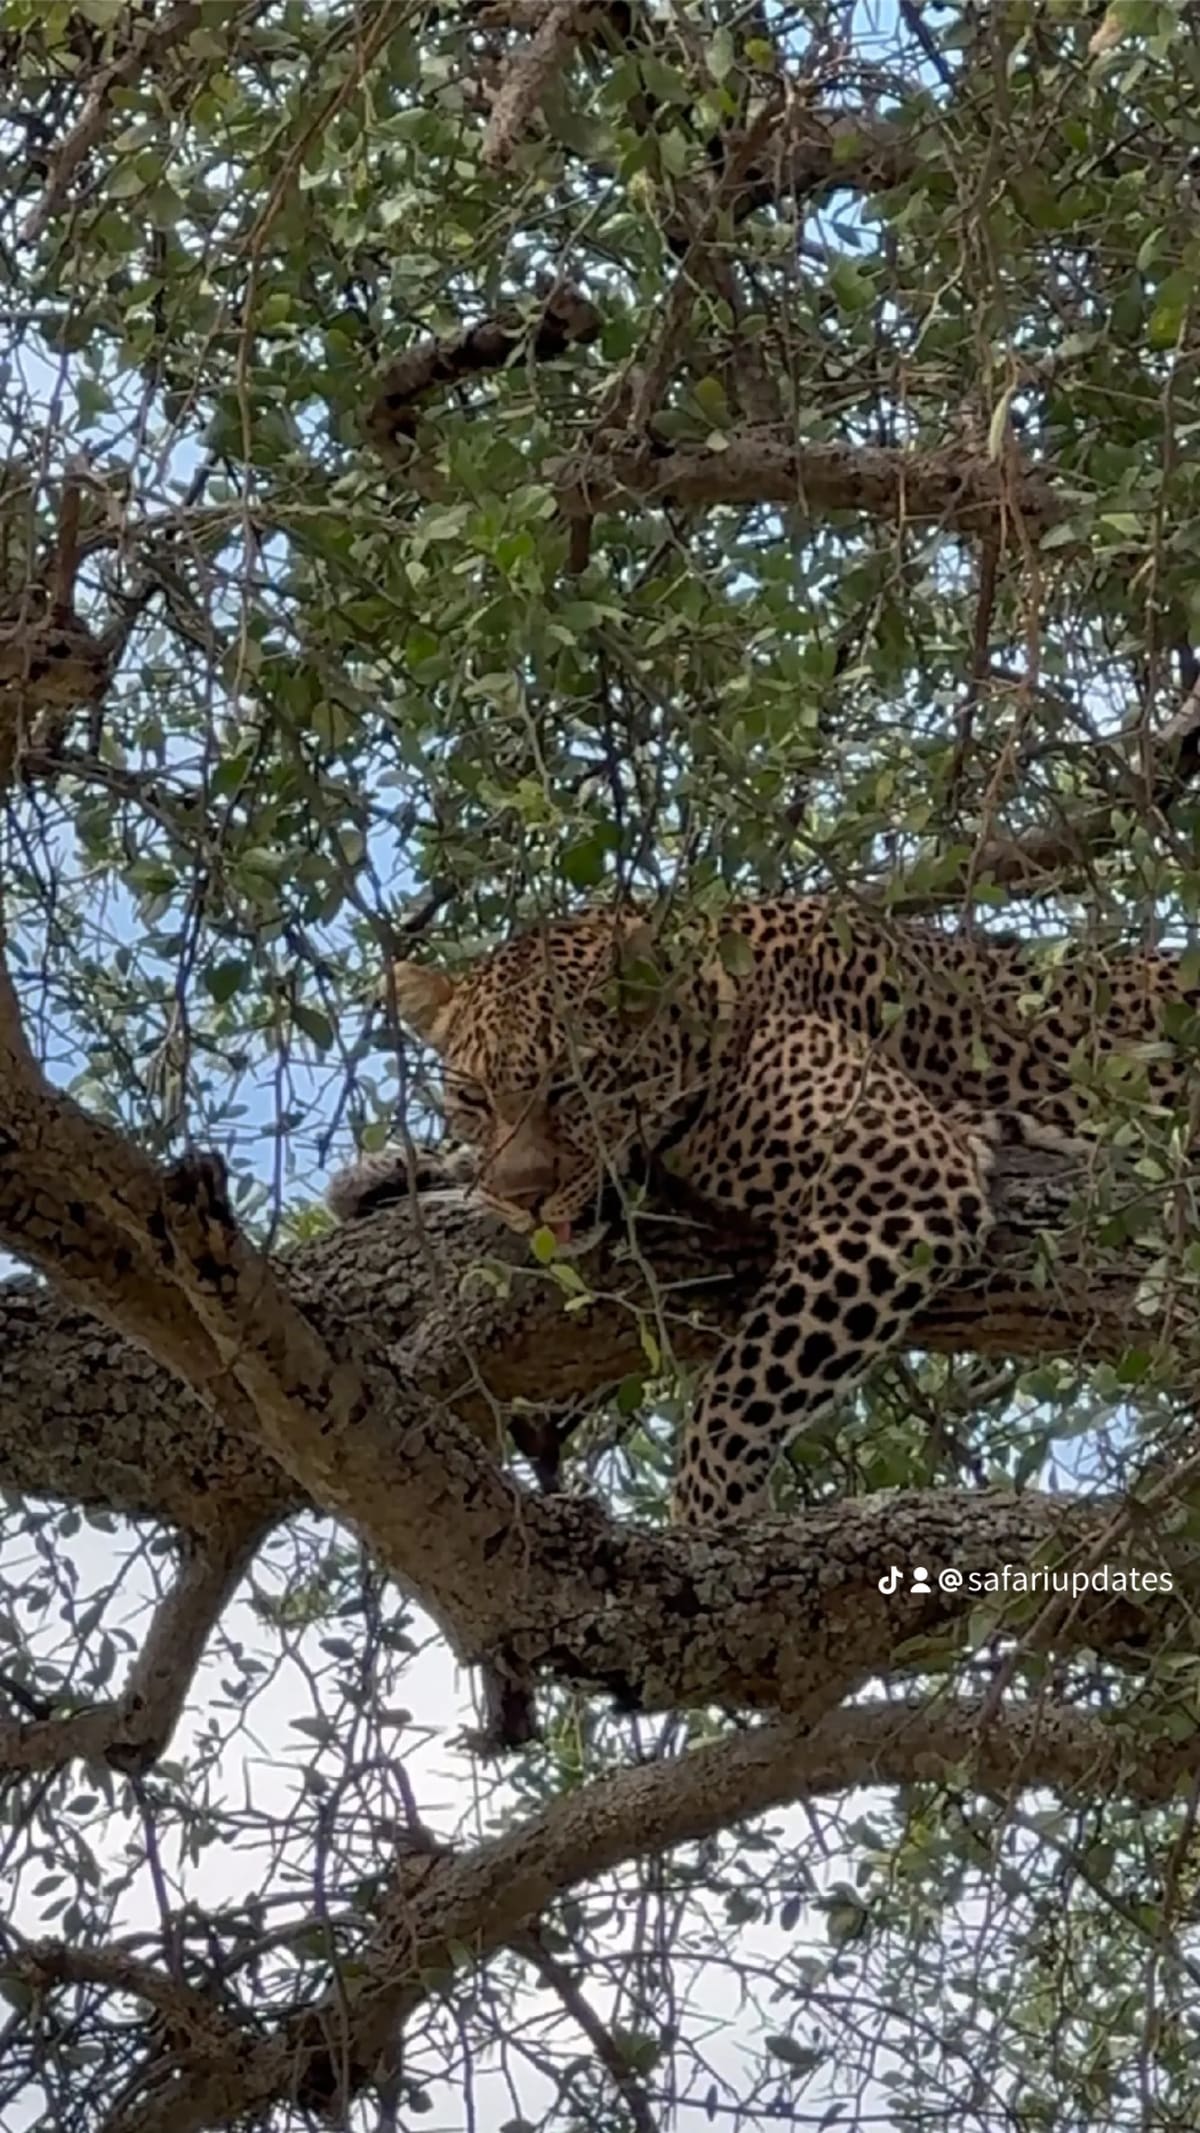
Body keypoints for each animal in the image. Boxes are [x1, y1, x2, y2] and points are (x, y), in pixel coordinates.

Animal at [329, 896, 1200, 1527]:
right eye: (474, 1098)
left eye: (571, 1086)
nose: (525, 1200)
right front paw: (395, 1174)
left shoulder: (902, 1173)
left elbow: (739, 1385)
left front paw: (707, 1518)